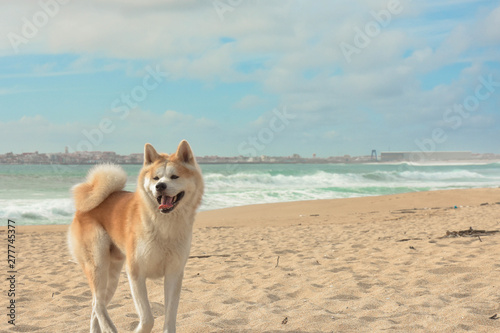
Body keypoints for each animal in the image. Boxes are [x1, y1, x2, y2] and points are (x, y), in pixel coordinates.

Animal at [68, 141, 203, 332]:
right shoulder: (135, 273)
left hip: (112, 276)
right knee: (97, 304)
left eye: (174, 177)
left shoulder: (174, 273)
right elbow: (147, 318)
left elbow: (170, 317)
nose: (160, 186)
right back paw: (110, 329)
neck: (164, 226)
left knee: (96, 305)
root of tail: (82, 209)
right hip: (98, 265)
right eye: (156, 178)